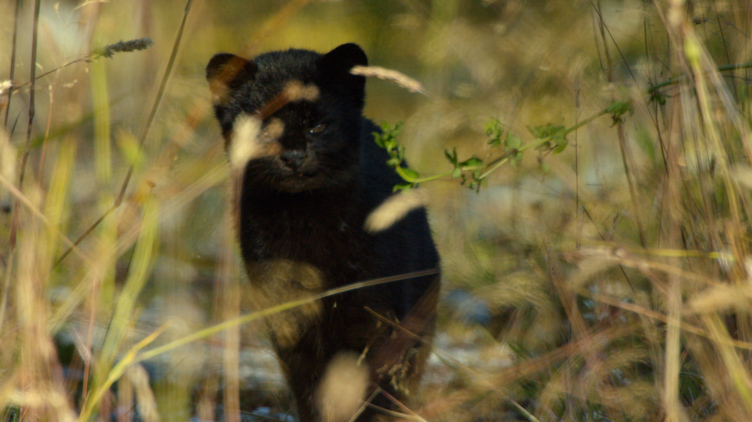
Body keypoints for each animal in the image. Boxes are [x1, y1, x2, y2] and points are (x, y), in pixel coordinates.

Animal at [206, 43, 440, 422]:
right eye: (264, 127)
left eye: (317, 125)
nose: (293, 156)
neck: (306, 223)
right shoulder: (288, 316)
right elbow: (311, 388)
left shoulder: (372, 314)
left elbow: (368, 382)